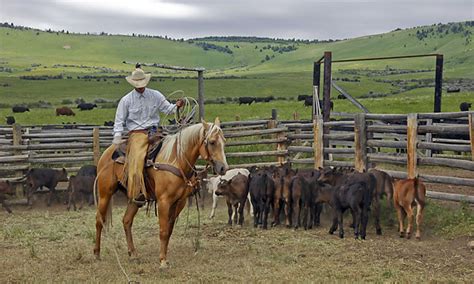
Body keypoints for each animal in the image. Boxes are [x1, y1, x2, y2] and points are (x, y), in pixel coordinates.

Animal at [94, 118, 228, 268]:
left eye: (224, 141)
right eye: (212, 142)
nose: (223, 168)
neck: (177, 160)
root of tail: (107, 152)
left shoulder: (179, 202)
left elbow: (169, 230)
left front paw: (165, 258)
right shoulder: (164, 201)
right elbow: (163, 231)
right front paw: (162, 261)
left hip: (136, 198)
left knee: (127, 221)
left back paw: (133, 254)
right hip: (105, 194)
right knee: (99, 220)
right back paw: (97, 253)